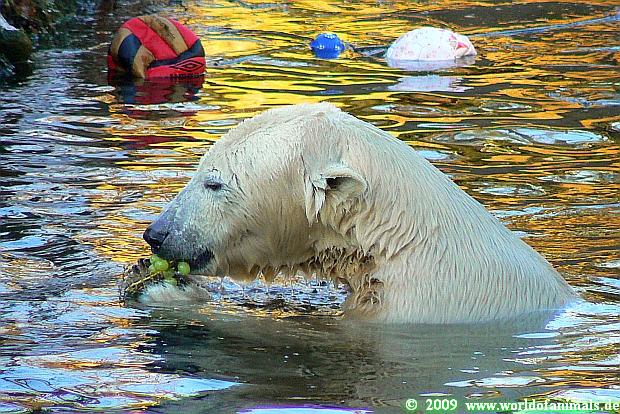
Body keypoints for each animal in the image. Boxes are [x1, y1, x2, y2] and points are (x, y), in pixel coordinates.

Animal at [142, 103, 577, 323]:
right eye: (200, 170)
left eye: (213, 183)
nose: (156, 233)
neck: (395, 239)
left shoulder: (412, 308)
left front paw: (168, 294)